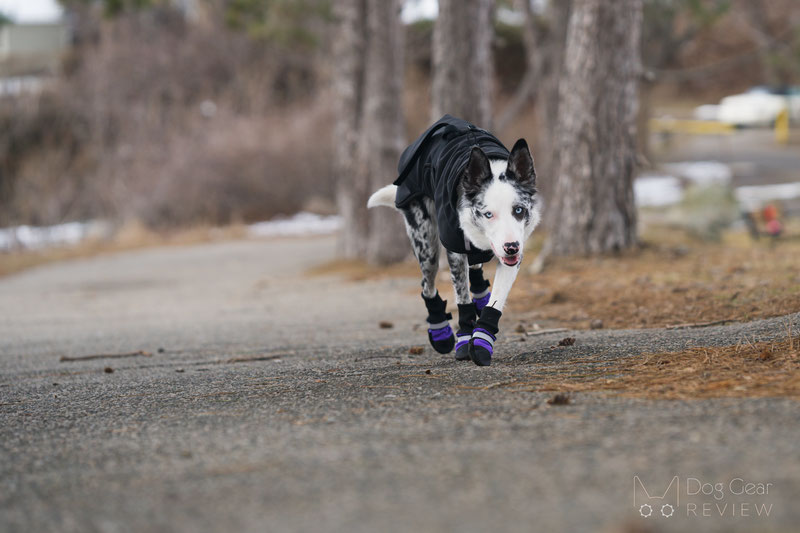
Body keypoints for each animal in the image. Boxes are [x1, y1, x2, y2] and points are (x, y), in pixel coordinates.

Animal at [368, 115, 540, 366]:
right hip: (427, 248)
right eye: (488, 214)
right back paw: (440, 330)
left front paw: (481, 340)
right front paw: (465, 339)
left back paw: (481, 296)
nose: (511, 248)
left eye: (518, 210)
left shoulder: (513, 257)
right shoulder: (455, 250)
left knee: (476, 270)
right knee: (427, 286)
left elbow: (496, 299)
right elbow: (462, 301)